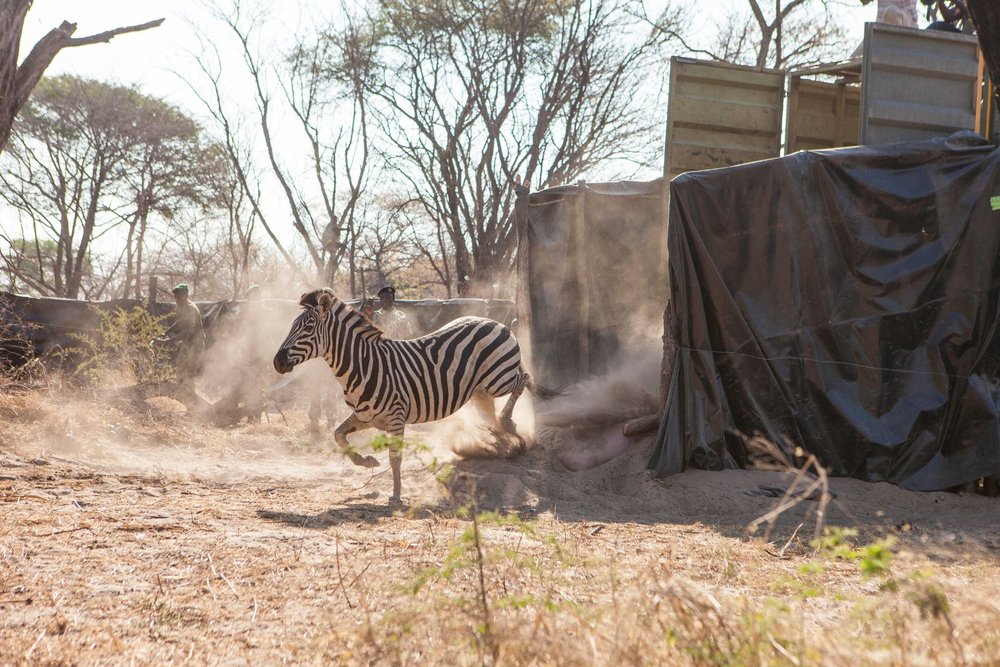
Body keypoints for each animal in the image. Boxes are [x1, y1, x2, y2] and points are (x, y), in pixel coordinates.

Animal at [272, 288, 556, 504]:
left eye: (307, 328)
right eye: (292, 326)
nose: (277, 362)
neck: (363, 365)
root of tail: (496, 322)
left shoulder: (396, 417)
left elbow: (395, 458)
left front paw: (396, 495)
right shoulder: (365, 416)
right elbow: (338, 435)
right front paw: (366, 461)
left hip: (498, 379)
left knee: (523, 378)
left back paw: (508, 423)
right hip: (480, 389)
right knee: (498, 402)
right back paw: (502, 436)